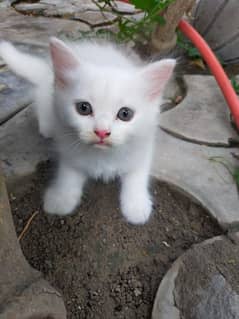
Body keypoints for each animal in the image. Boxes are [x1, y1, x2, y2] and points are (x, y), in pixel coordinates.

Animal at [0, 38, 176, 225]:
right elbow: (68, 175)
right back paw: (47, 127)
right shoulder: (69, 151)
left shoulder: (142, 147)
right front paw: (60, 199)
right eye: (83, 108)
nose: (102, 132)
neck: (103, 156)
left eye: (125, 114)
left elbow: (137, 176)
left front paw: (136, 206)